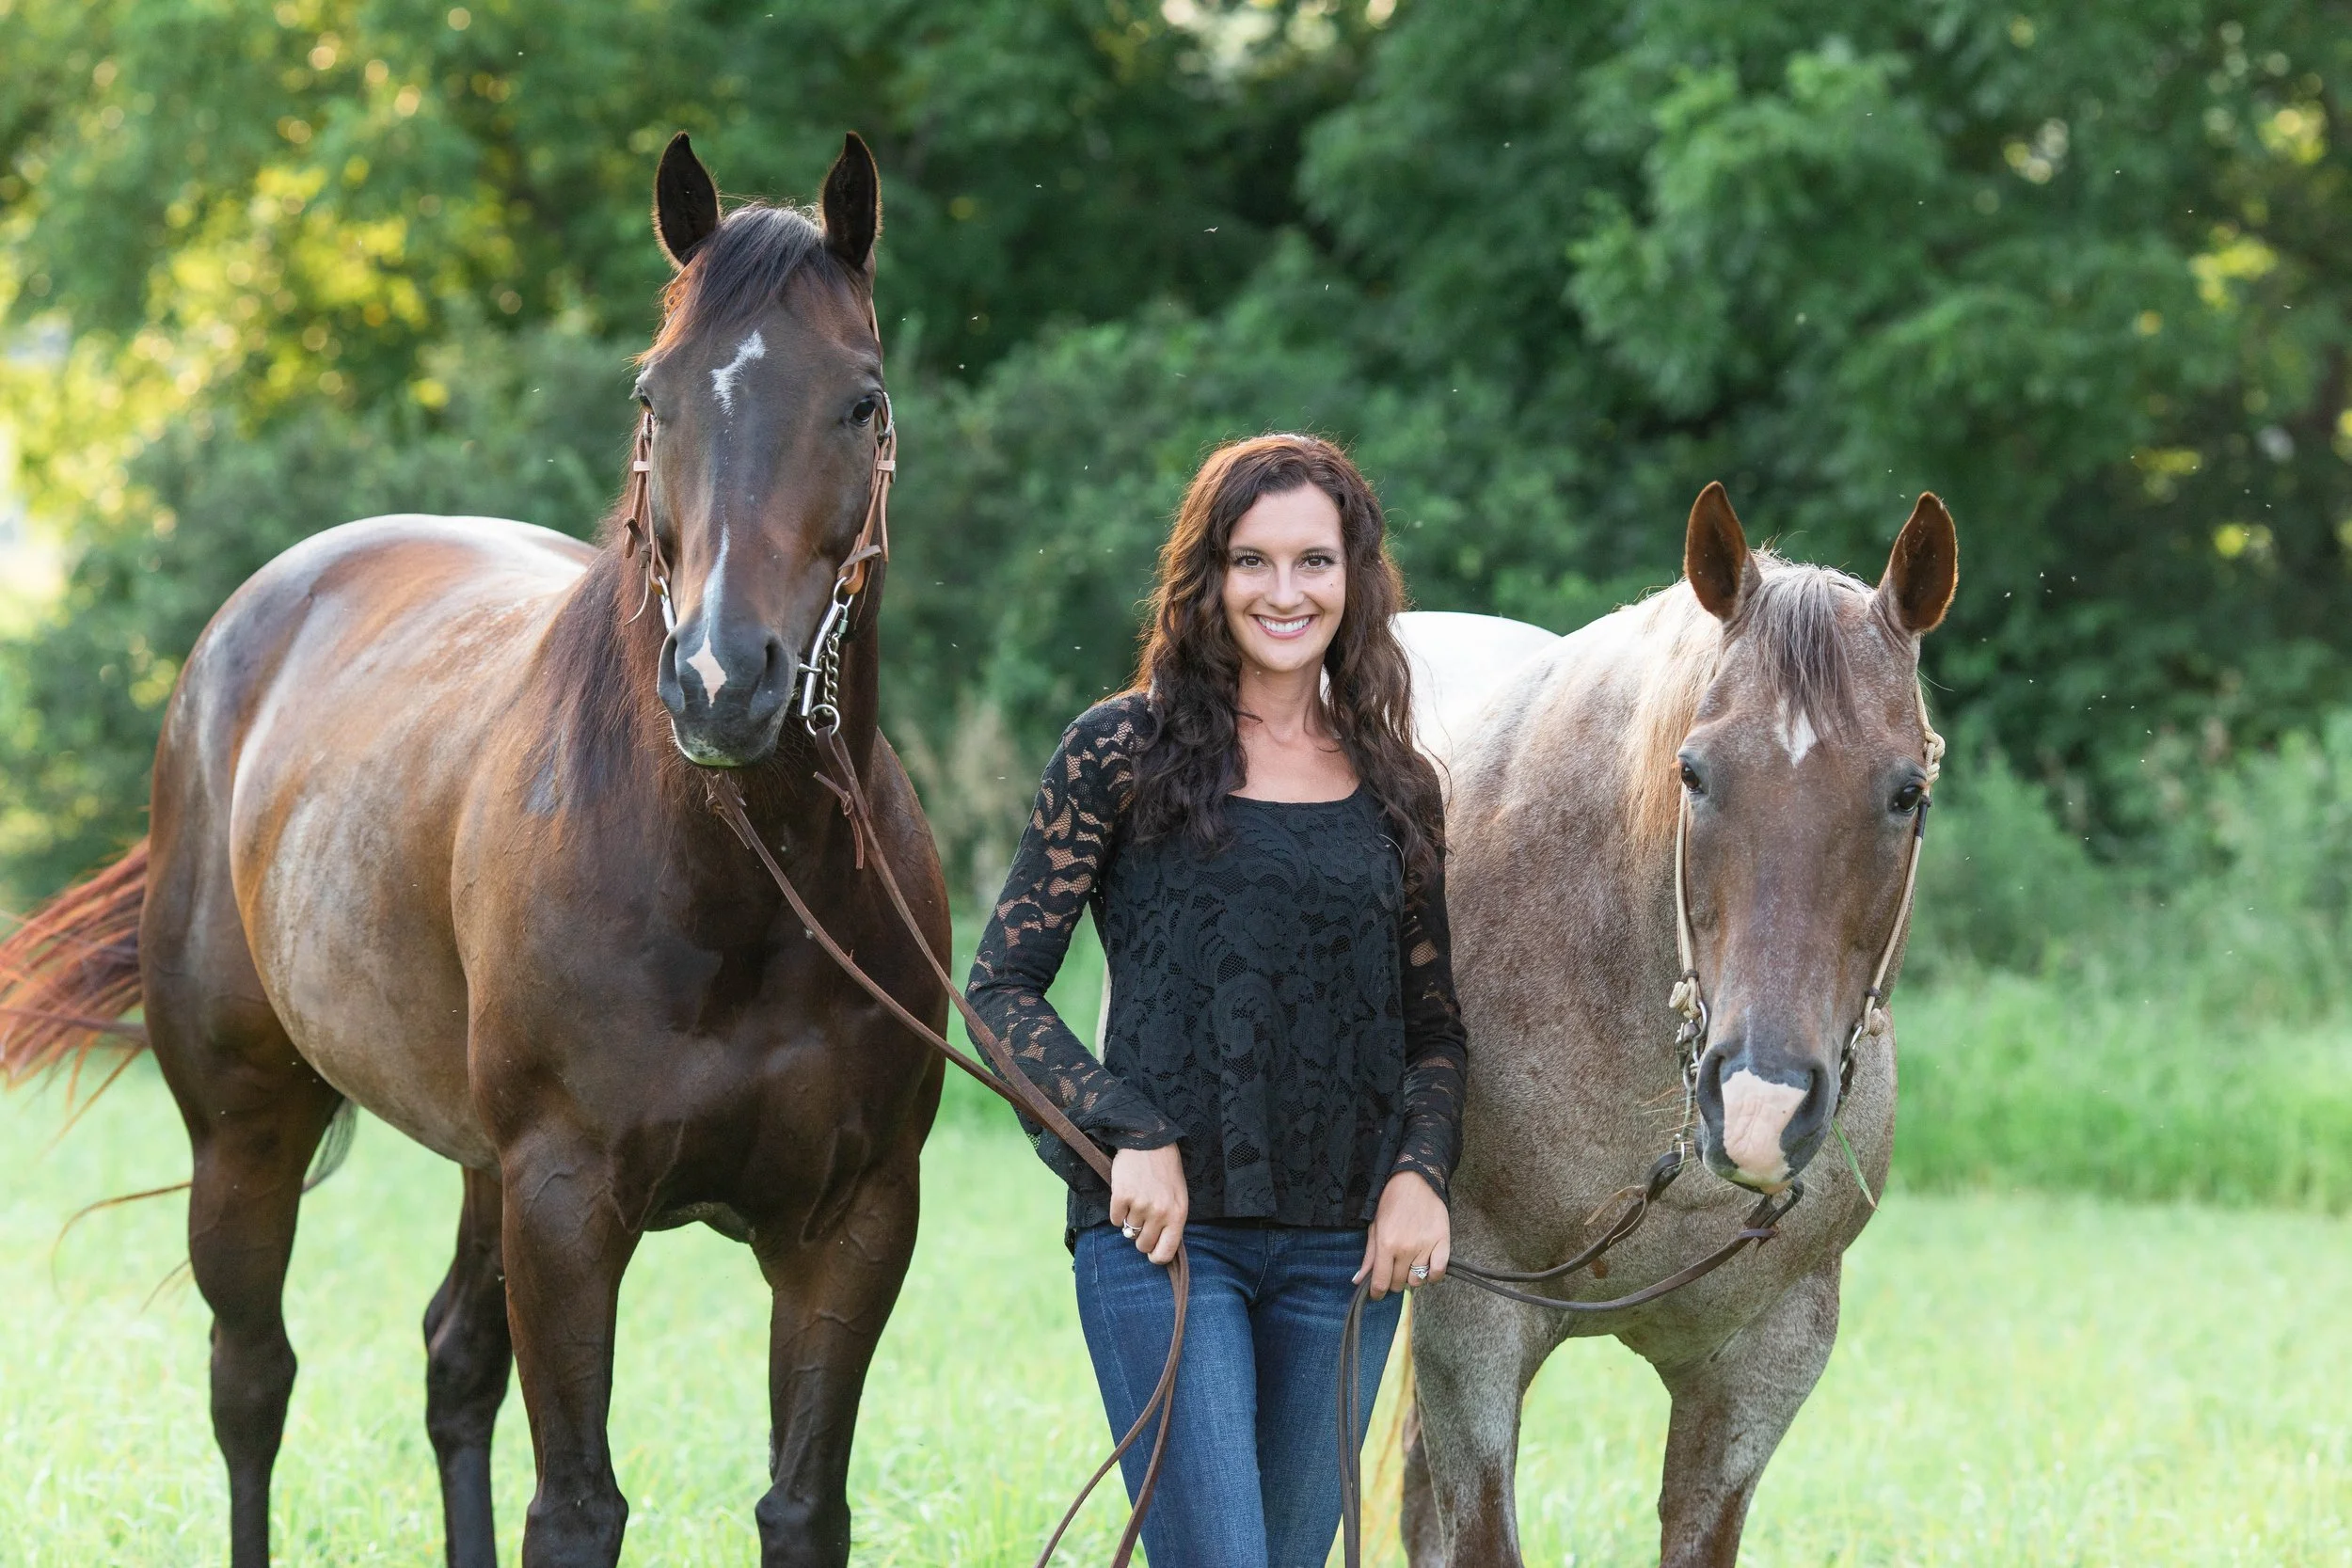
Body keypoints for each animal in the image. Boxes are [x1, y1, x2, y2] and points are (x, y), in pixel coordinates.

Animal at [0, 132, 948, 1568]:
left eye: (861, 402)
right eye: (656, 396)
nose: (722, 681)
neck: (741, 892)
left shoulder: (853, 1221)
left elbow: (802, 1507)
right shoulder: (564, 1204)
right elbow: (577, 1508)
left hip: (475, 1167)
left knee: (450, 1362)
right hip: (246, 1129)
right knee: (250, 1381)